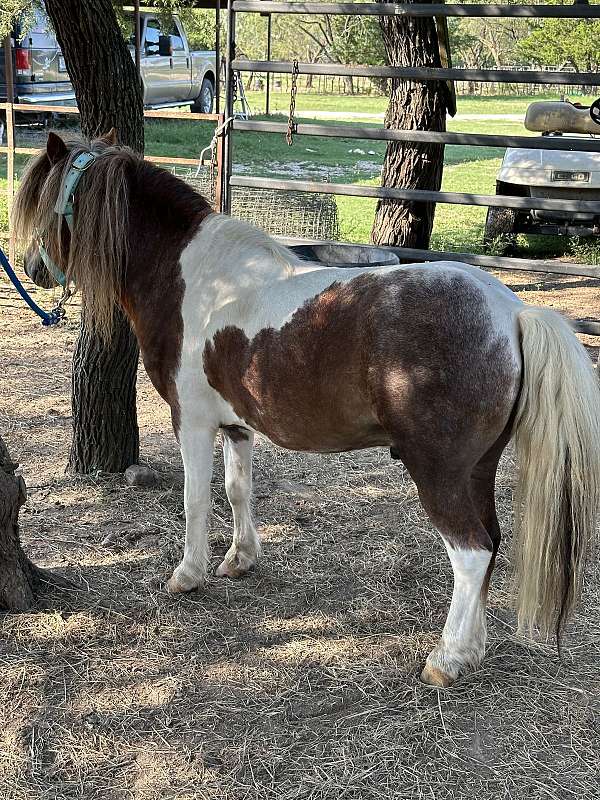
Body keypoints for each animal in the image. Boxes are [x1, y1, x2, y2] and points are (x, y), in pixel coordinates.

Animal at [13, 131, 600, 688]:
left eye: (47, 204)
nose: (32, 267)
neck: (192, 279)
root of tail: (512, 311)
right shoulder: (237, 425)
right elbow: (238, 491)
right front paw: (238, 560)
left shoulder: (193, 422)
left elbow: (195, 500)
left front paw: (187, 574)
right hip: (478, 468)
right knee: (492, 544)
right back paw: (472, 650)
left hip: (440, 473)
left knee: (472, 552)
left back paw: (446, 660)